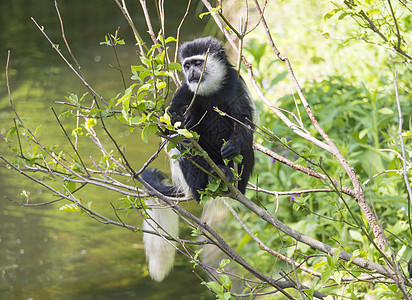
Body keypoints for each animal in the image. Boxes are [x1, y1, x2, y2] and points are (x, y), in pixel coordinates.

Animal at [141, 37, 254, 282]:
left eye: (198, 63)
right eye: (187, 65)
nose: (192, 72)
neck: (210, 90)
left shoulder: (235, 84)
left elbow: (244, 121)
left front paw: (232, 147)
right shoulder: (185, 91)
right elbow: (169, 127)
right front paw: (183, 121)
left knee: (246, 147)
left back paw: (230, 175)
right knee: (186, 150)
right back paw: (205, 181)